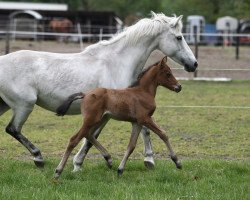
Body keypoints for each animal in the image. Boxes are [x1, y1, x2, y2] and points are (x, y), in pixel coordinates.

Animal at [54, 57, 182, 179]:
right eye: (168, 73)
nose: (179, 87)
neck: (143, 92)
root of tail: (85, 94)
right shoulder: (145, 119)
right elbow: (163, 134)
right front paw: (177, 162)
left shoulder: (137, 122)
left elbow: (131, 146)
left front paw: (120, 170)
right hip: (91, 120)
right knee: (74, 139)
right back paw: (58, 171)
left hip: (100, 119)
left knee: (89, 135)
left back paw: (109, 159)